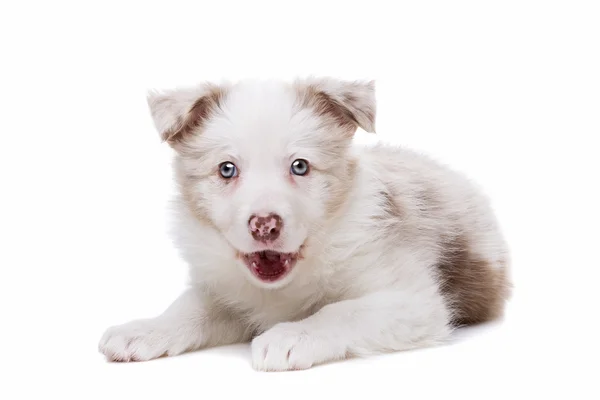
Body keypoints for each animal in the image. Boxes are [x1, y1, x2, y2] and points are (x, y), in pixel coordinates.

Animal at [98, 76, 510, 370]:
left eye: (300, 166)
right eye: (227, 169)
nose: (264, 225)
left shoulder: (412, 299)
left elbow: (341, 310)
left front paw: (291, 337)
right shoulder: (230, 289)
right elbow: (191, 306)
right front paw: (145, 329)